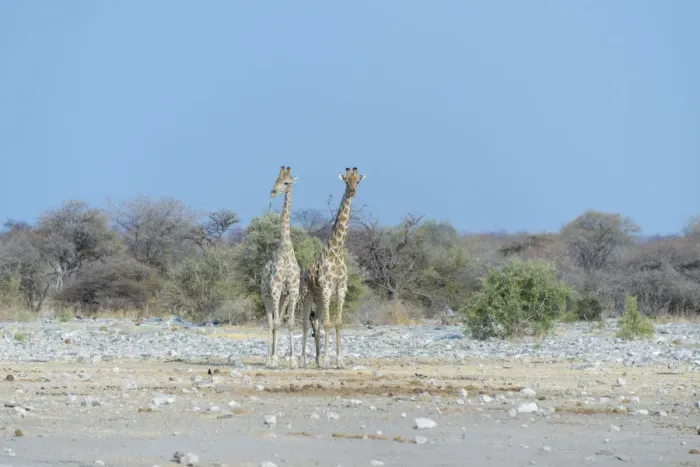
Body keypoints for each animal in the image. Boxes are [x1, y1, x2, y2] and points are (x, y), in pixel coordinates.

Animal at [300, 167, 366, 369]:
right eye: (345, 180)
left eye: (357, 180)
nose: (352, 191)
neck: (336, 251)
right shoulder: (328, 288)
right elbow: (329, 323)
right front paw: (329, 360)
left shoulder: (341, 288)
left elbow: (337, 323)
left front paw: (339, 361)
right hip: (307, 296)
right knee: (306, 323)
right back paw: (303, 360)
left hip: (320, 299)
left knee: (316, 322)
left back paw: (317, 360)